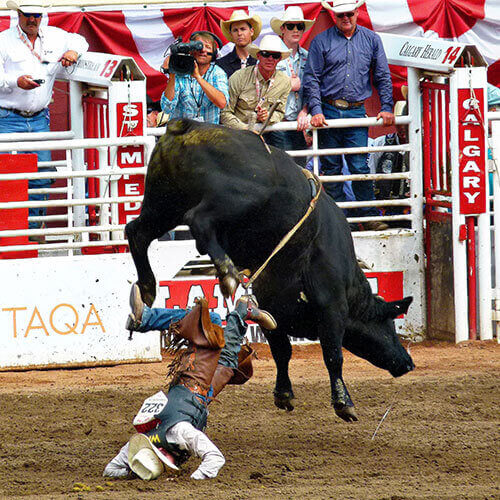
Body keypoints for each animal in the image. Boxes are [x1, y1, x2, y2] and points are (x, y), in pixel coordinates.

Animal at [126, 120, 414, 422]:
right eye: (388, 324)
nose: (407, 362)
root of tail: (187, 125)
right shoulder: (332, 306)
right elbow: (332, 354)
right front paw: (343, 402)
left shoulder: (272, 304)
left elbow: (282, 351)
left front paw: (284, 394)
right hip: (237, 200)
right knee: (198, 221)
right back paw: (227, 272)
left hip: (165, 203)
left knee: (137, 232)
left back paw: (147, 287)